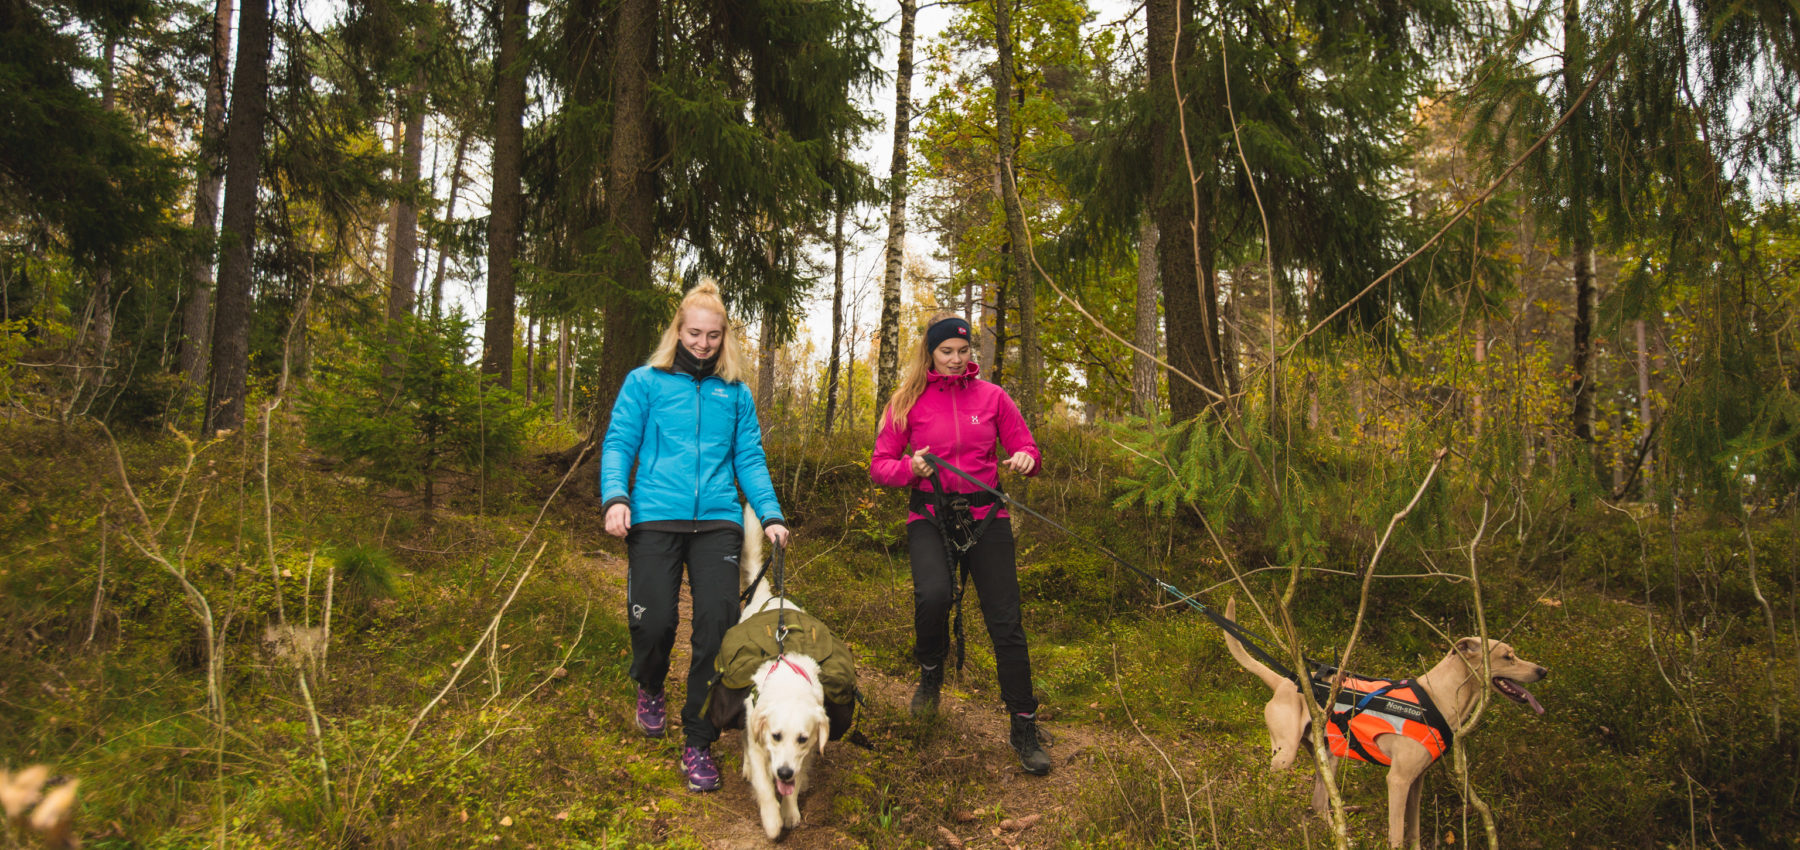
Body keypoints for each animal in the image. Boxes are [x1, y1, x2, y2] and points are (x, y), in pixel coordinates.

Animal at [738, 504, 828, 835]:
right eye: (776, 735)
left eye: (802, 738)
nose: (785, 772)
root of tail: (767, 596)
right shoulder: (758, 738)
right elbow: (765, 786)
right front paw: (773, 820)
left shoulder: (808, 751)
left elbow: (796, 783)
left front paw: (790, 811)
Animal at [1224, 597, 1548, 850]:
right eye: (1508, 656)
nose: (1543, 670)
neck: (1438, 697)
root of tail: (1284, 682)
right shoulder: (1398, 780)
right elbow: (1397, 835)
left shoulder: (1417, 781)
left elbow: (1413, 832)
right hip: (1285, 755)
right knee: (1268, 794)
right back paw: (1266, 824)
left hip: (1328, 755)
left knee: (1318, 804)